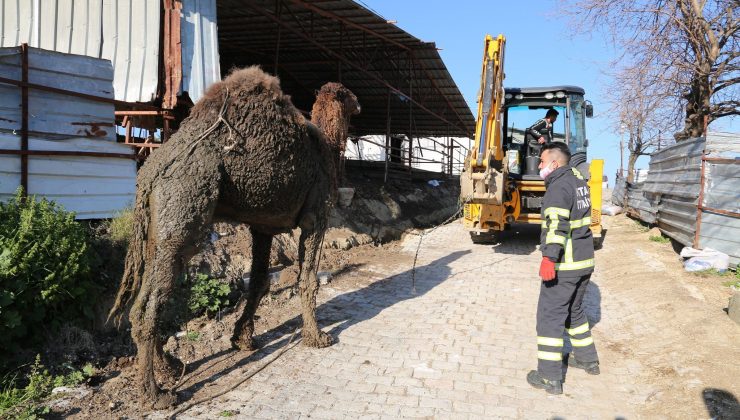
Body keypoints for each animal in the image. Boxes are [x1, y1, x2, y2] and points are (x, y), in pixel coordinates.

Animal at [108, 66, 360, 406]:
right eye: (348, 95)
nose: (360, 103)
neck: (326, 149)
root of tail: (150, 173)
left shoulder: (263, 227)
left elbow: (259, 282)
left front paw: (242, 338)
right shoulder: (316, 217)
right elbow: (307, 280)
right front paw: (317, 336)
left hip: (155, 232)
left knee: (144, 300)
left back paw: (170, 367)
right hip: (184, 214)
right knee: (152, 303)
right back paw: (155, 393)